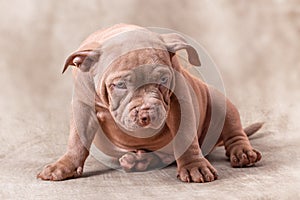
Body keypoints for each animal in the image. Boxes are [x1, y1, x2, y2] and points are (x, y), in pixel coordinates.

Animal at [37, 23, 262, 183]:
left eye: (163, 79)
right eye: (119, 85)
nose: (147, 114)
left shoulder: (181, 102)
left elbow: (185, 137)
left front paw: (194, 166)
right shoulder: (82, 107)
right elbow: (77, 140)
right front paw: (63, 166)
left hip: (220, 104)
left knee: (234, 132)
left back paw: (243, 153)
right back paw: (137, 161)